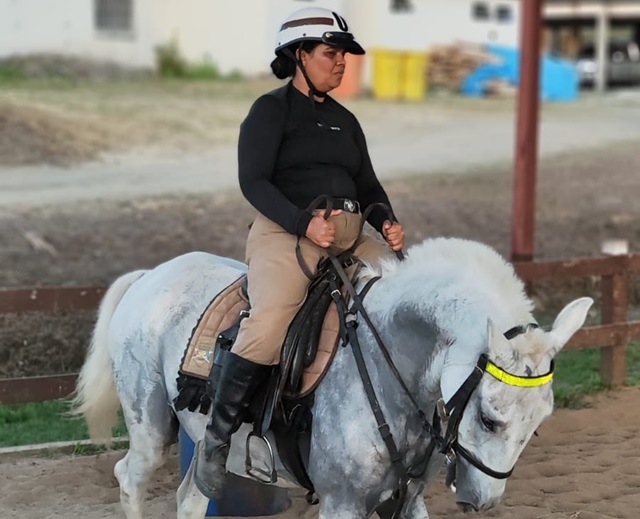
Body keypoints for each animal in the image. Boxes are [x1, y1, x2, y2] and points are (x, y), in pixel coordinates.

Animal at [72, 238, 592, 516]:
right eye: (487, 418)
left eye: (538, 425)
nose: (482, 501)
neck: (387, 366)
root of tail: (150, 276)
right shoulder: (342, 504)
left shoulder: (405, 501)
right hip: (150, 429)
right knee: (129, 478)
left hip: (204, 448)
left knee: (190, 496)